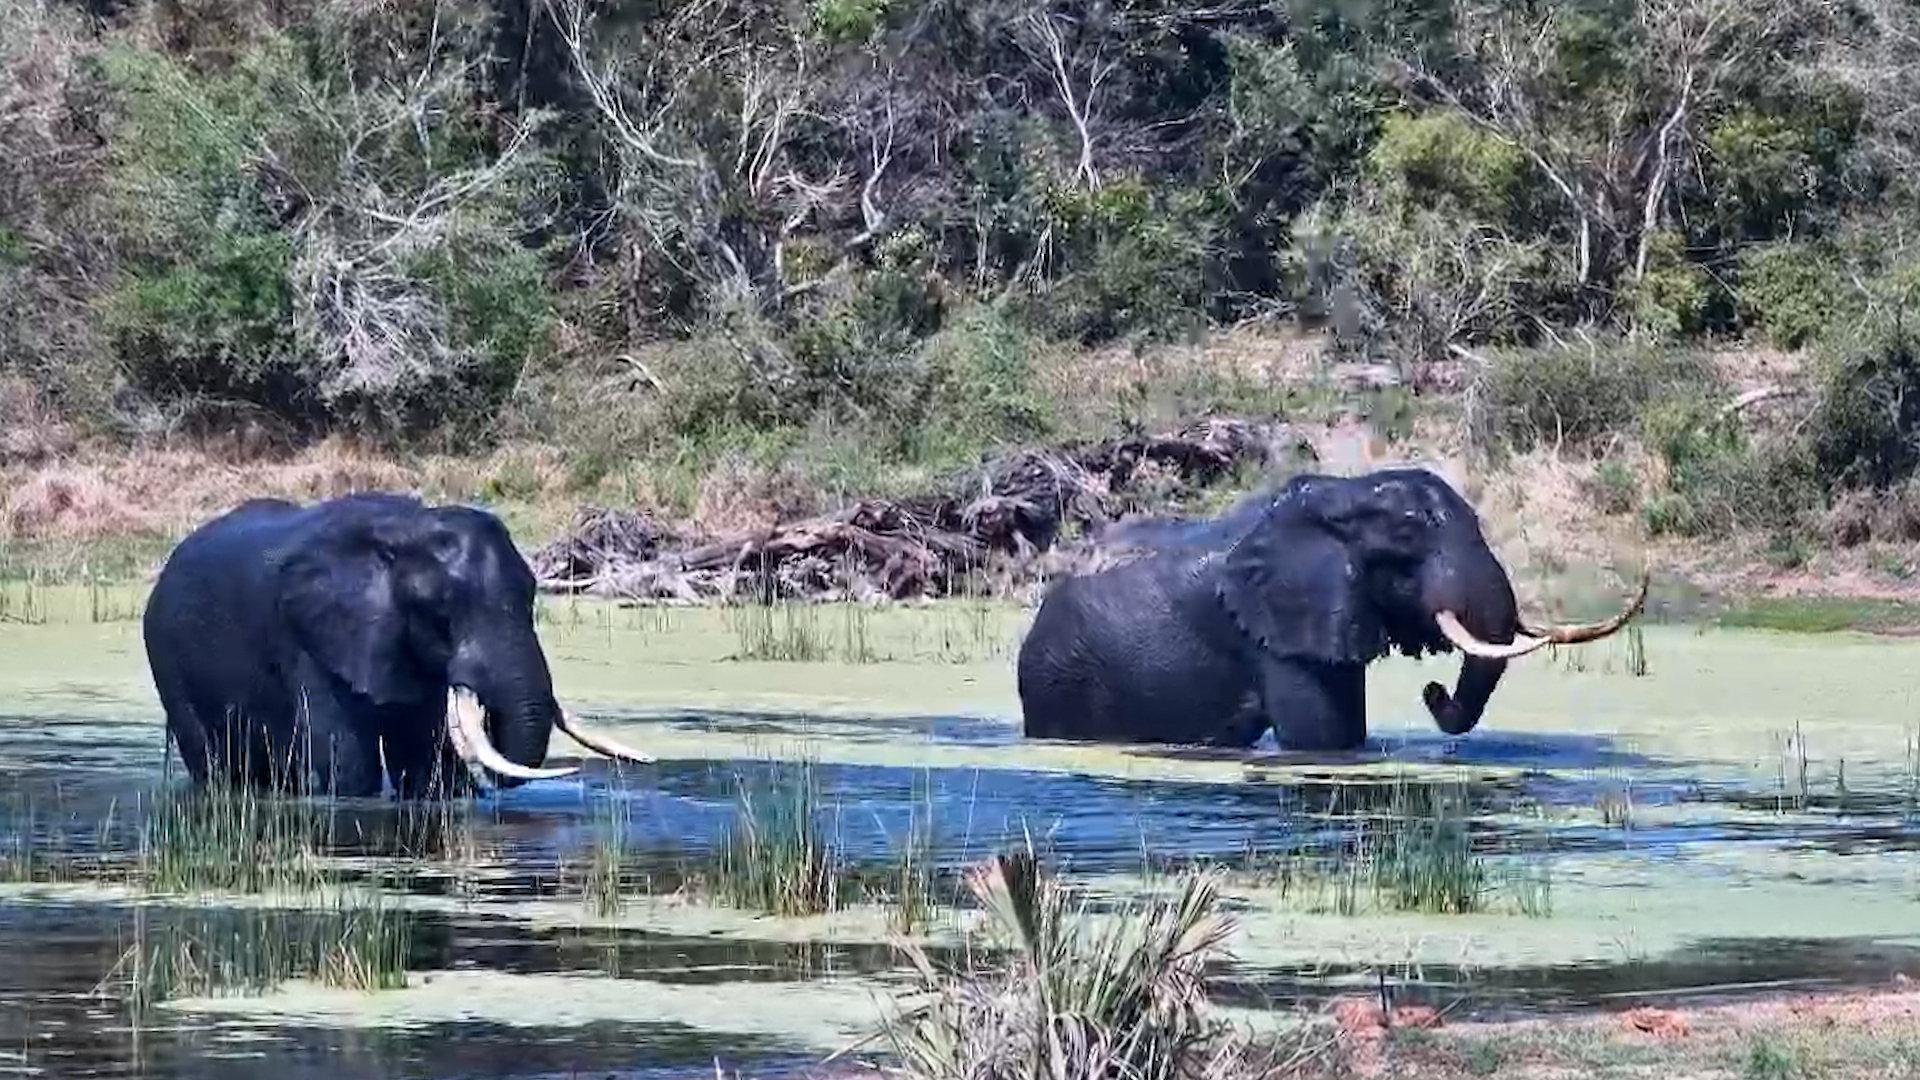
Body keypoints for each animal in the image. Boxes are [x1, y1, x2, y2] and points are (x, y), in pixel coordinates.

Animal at [142, 492, 653, 798]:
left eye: (532, 595)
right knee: (213, 764)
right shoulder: (305, 640)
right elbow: (349, 768)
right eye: (440, 610)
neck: (401, 532)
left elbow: (427, 765)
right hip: (166, 657)